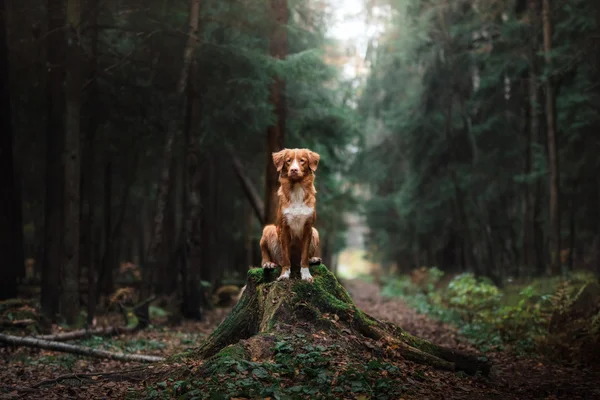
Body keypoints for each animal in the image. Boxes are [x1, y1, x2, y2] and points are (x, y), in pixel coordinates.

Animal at [260, 148, 322, 282]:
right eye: (288, 161)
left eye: (302, 161)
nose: (294, 170)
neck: (297, 188)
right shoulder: (284, 227)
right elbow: (285, 257)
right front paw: (284, 274)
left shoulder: (308, 227)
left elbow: (304, 256)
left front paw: (306, 275)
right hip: (269, 229)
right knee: (266, 256)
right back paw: (268, 263)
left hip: (315, 231)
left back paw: (313, 259)